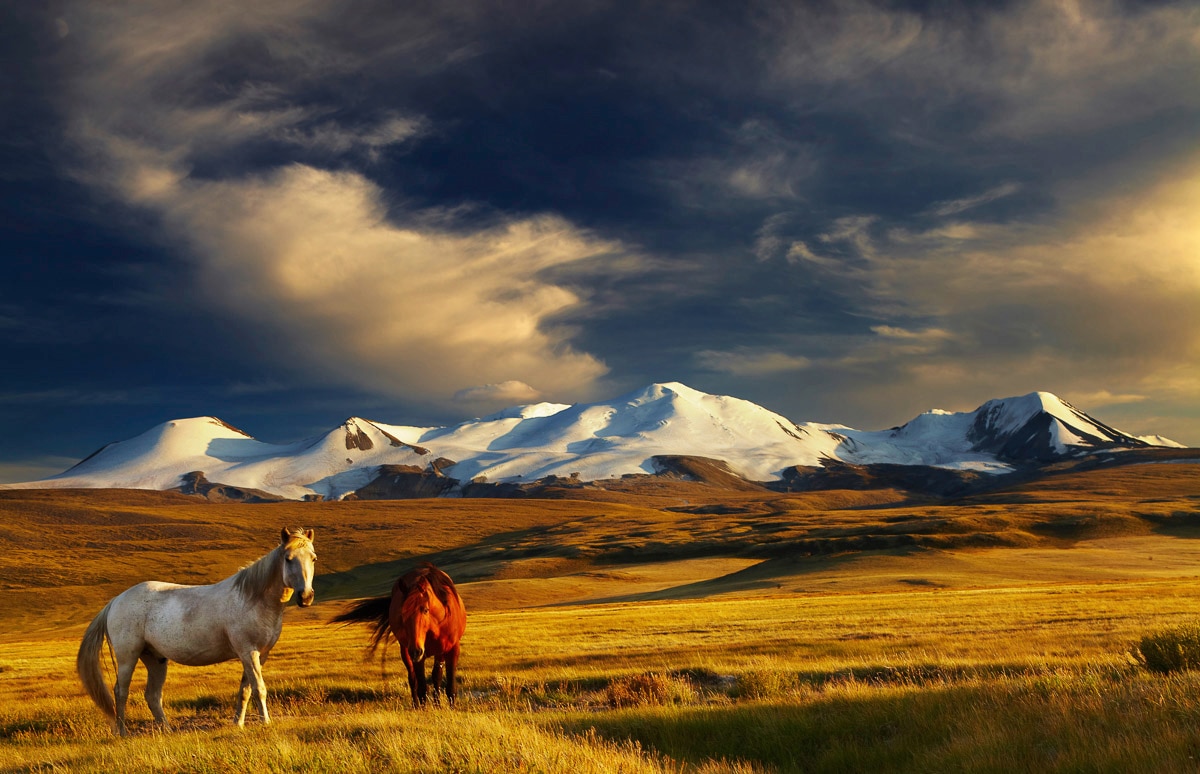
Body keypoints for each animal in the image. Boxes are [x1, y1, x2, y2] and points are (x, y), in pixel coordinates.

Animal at [76, 525, 316, 734]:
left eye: (313, 558)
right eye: (288, 558)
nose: (306, 597)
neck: (252, 599)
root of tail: (116, 600)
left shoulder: (259, 654)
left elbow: (245, 691)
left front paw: (238, 724)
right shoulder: (248, 652)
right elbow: (259, 688)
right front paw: (266, 722)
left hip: (155, 659)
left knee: (152, 696)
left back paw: (168, 730)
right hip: (128, 657)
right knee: (121, 691)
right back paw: (123, 732)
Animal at [338, 561, 468, 705]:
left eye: (425, 610)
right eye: (402, 613)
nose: (416, 651)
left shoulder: (452, 649)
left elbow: (450, 688)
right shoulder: (418, 655)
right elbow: (422, 689)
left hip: (437, 652)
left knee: (436, 676)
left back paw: (437, 704)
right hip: (406, 650)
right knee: (413, 679)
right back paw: (417, 705)